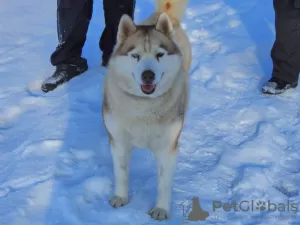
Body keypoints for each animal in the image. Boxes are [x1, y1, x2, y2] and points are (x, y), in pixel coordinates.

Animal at [102, 0, 192, 220]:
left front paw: (161, 209)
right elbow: (121, 173)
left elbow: (163, 183)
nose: (148, 75)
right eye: (135, 55)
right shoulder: (118, 142)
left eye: (160, 55)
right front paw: (121, 197)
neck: (144, 106)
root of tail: (164, 13)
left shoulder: (168, 148)